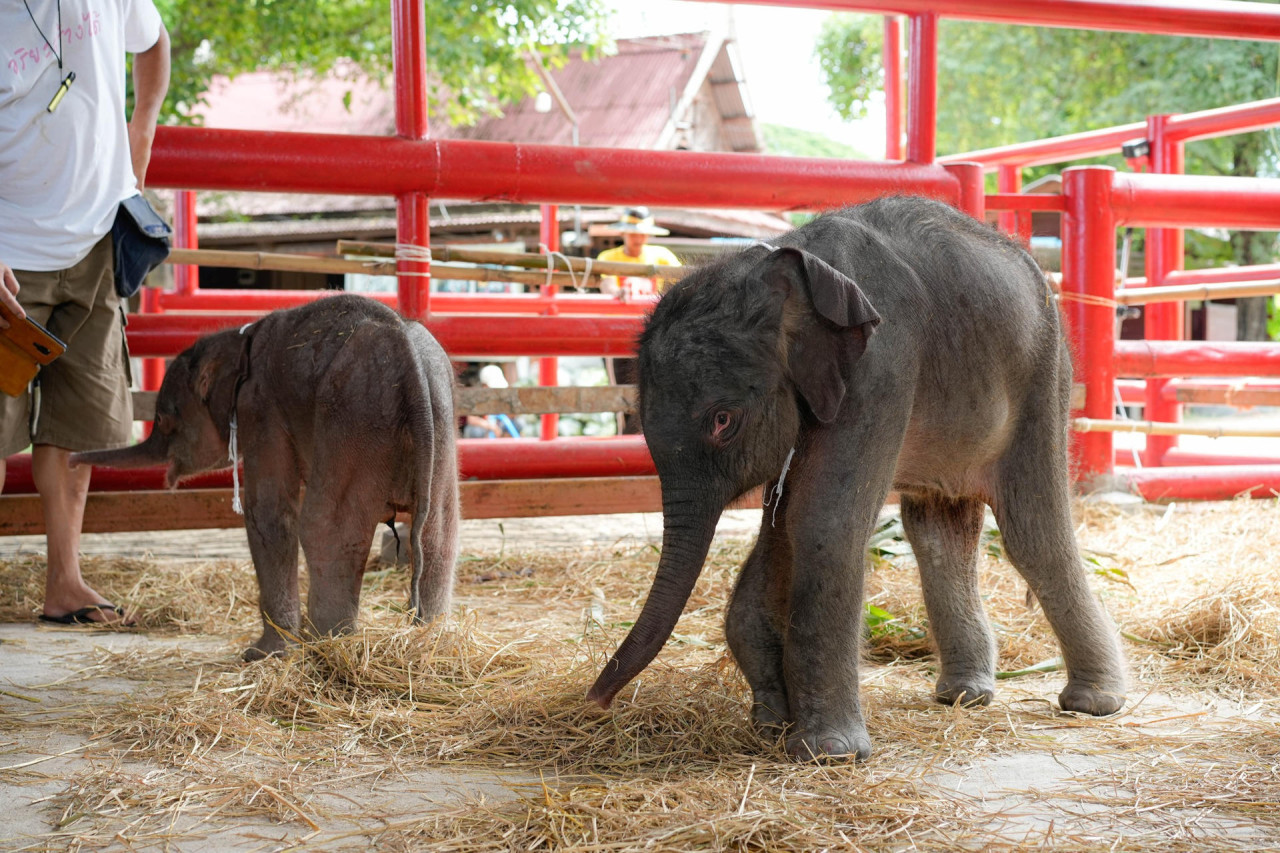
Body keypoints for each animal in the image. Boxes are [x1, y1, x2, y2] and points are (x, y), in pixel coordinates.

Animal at [71, 292, 460, 655]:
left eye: (166, 421)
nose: (73, 460)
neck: (239, 338)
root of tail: (409, 361)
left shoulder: (259, 409)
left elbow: (269, 513)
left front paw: (261, 656)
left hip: (356, 421)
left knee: (325, 529)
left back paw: (322, 649)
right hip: (439, 423)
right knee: (438, 536)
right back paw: (428, 638)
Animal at [586, 195, 1126, 758]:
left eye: (722, 421)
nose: (595, 703)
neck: (784, 266)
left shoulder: (881, 364)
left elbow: (821, 519)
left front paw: (829, 753)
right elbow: (783, 524)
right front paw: (772, 724)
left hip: (1045, 375)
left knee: (1032, 533)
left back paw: (1094, 702)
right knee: (938, 529)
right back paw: (964, 696)